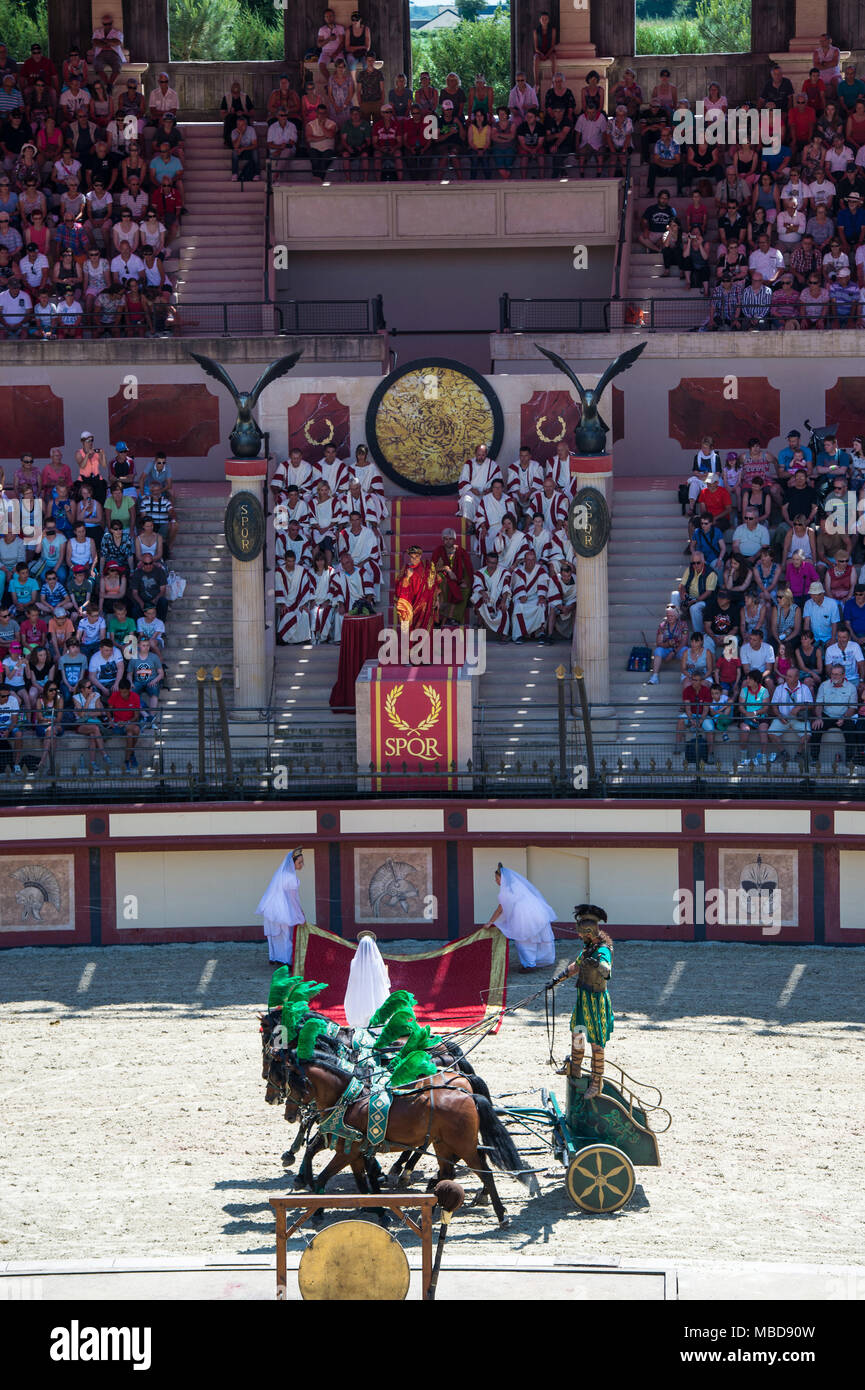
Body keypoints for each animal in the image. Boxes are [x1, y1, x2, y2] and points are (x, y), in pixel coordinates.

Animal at [285, 1045, 539, 1228]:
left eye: (294, 1085)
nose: (289, 1113)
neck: (351, 1101)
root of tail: (467, 1093)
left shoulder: (348, 1152)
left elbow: (323, 1178)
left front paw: (317, 1211)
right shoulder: (353, 1151)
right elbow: (359, 1182)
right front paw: (377, 1210)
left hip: (463, 1145)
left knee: (484, 1174)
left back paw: (501, 1215)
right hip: (443, 1144)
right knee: (448, 1174)